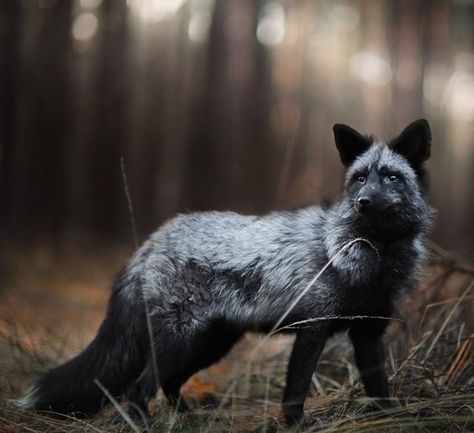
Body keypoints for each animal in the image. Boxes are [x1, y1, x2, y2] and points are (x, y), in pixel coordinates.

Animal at [17, 118, 434, 426]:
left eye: (391, 177)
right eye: (360, 178)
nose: (363, 202)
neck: (372, 259)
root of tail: (152, 240)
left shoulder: (369, 332)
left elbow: (379, 388)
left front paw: (392, 419)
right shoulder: (312, 329)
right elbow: (295, 391)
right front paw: (296, 426)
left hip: (211, 343)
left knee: (169, 384)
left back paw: (188, 418)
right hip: (181, 340)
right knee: (139, 388)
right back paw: (146, 424)